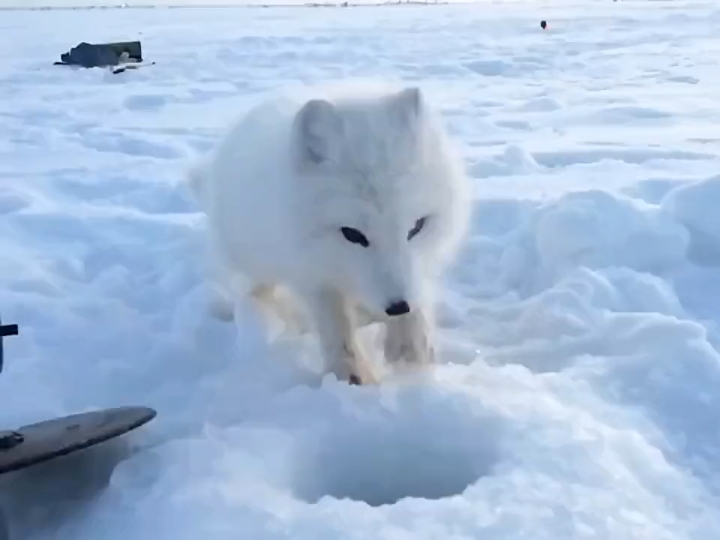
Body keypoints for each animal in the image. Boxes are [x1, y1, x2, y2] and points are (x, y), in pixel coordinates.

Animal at [188, 81, 472, 384]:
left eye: (417, 227)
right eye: (352, 234)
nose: (398, 306)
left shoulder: (419, 269)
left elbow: (418, 303)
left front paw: (413, 359)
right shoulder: (313, 274)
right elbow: (335, 324)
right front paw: (352, 374)